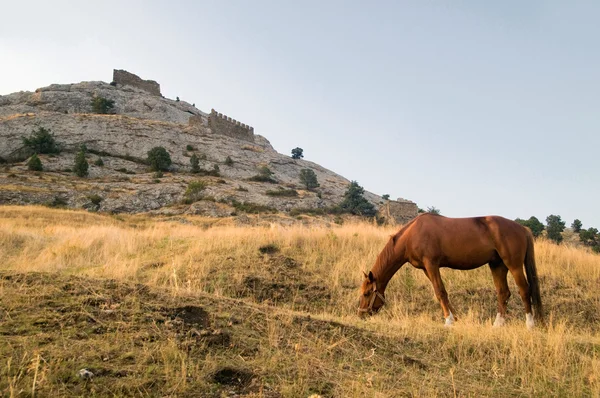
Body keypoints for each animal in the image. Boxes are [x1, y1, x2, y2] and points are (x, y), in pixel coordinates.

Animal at [356, 215, 544, 330]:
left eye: (366, 294)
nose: (360, 314)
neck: (412, 234)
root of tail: (523, 228)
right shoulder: (427, 269)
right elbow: (441, 293)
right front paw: (455, 318)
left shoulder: (431, 264)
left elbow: (440, 291)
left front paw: (448, 321)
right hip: (497, 265)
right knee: (503, 293)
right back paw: (498, 324)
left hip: (514, 265)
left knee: (524, 290)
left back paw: (530, 324)